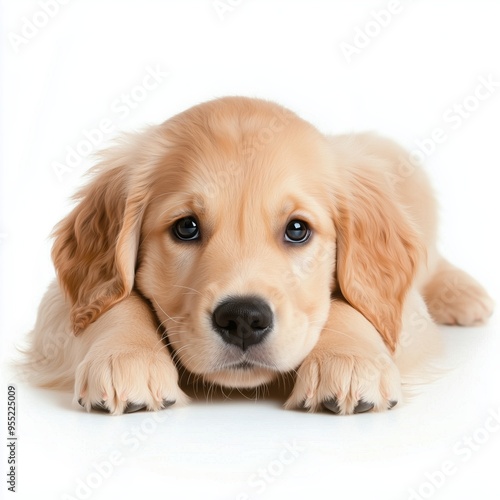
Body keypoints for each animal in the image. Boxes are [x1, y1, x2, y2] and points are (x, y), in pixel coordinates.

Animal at [22, 96, 492, 414]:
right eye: (186, 227)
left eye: (298, 230)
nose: (243, 320)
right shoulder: (59, 304)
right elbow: (113, 301)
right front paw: (126, 356)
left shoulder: (403, 312)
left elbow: (356, 305)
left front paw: (349, 361)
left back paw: (463, 294)